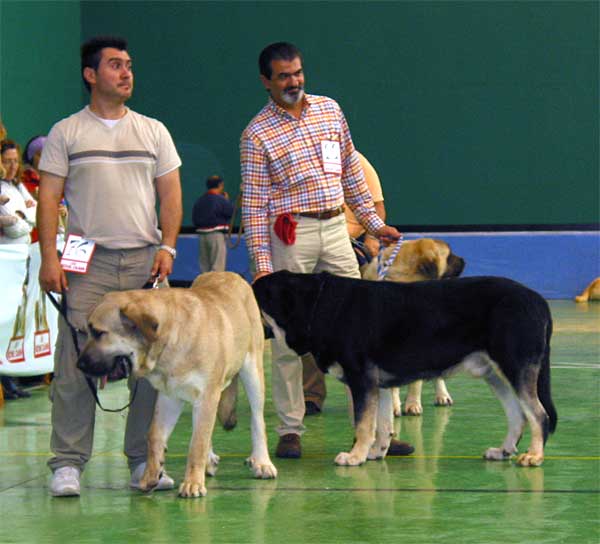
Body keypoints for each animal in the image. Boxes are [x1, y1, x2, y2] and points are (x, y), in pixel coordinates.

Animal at [75, 272, 278, 498]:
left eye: (99, 333)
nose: (79, 364)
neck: (170, 337)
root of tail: (231, 274)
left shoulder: (206, 396)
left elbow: (196, 444)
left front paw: (192, 483)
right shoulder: (170, 398)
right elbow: (155, 435)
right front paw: (151, 474)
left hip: (252, 371)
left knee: (257, 419)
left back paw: (262, 462)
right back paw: (209, 461)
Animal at [251, 272, 556, 468]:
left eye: (253, 296)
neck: (319, 304)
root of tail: (539, 300)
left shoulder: (361, 379)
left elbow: (364, 424)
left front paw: (355, 456)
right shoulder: (379, 384)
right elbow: (383, 425)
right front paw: (376, 453)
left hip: (515, 368)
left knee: (538, 415)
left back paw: (534, 456)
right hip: (496, 374)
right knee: (518, 415)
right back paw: (504, 450)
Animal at [360, 238, 464, 416]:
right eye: (449, 255)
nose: (464, 260)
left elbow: (416, 382)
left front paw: (412, 404)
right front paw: (393, 406)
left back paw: (442, 395)